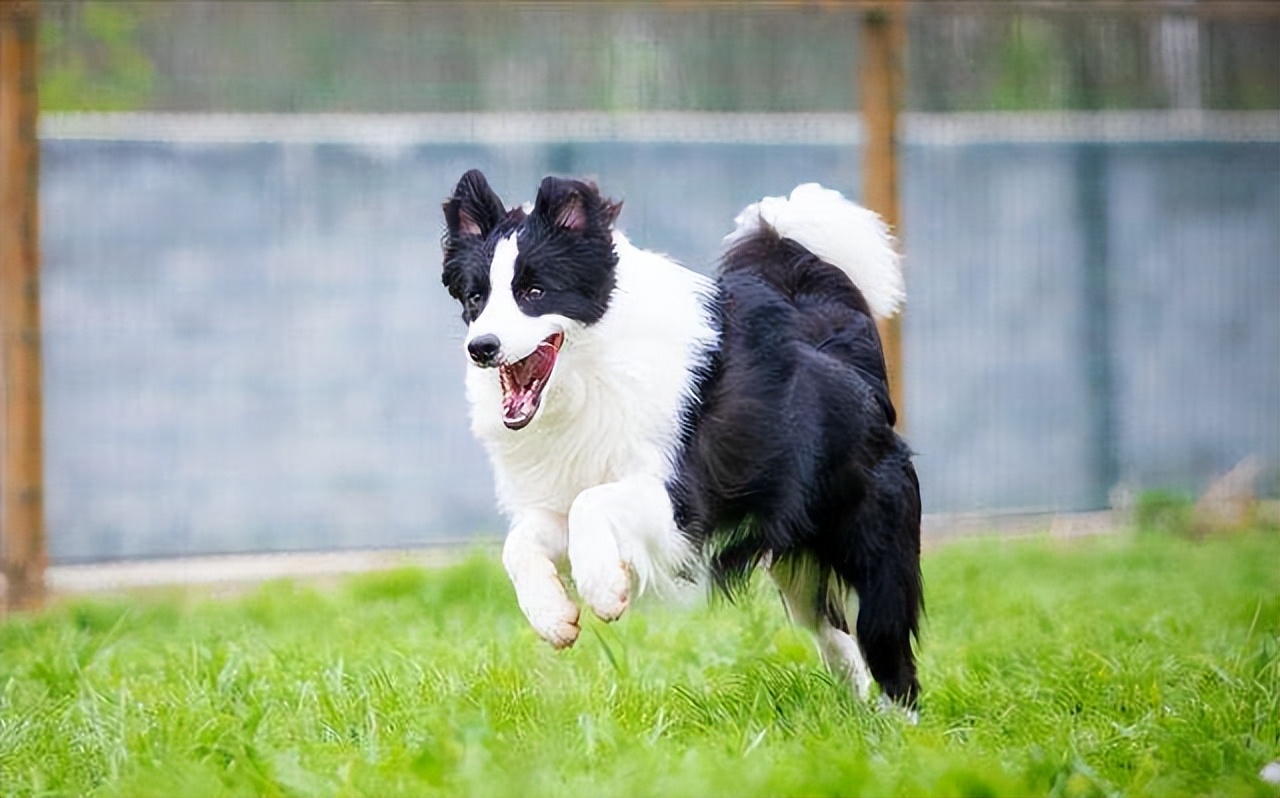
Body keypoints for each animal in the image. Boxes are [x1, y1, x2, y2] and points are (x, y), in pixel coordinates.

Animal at [440, 171, 921, 707]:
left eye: (535, 291)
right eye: (475, 299)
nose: (482, 348)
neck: (591, 373)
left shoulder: (681, 500)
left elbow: (592, 503)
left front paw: (605, 589)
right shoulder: (567, 489)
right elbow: (521, 541)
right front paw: (553, 617)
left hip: (871, 538)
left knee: (887, 643)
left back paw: (899, 724)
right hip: (797, 561)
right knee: (836, 635)